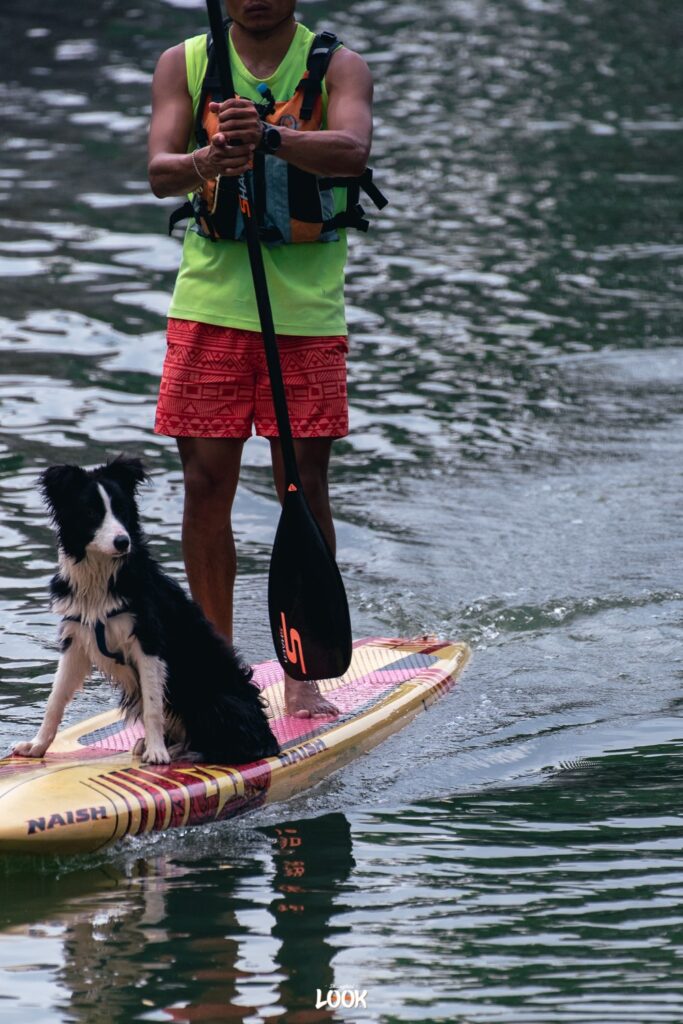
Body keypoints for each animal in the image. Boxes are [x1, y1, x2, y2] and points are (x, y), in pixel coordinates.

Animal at [11, 460, 278, 765]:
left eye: (122, 510)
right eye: (91, 512)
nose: (122, 542)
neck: (102, 579)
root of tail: (269, 738)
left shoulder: (148, 641)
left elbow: (153, 705)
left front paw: (157, 752)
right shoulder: (77, 639)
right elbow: (55, 700)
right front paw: (36, 746)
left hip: (213, 696)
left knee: (231, 744)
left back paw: (180, 750)